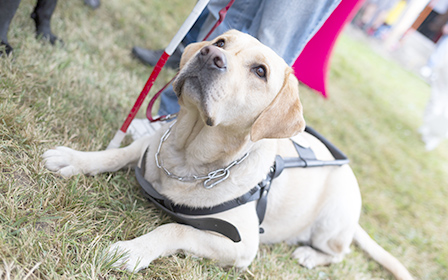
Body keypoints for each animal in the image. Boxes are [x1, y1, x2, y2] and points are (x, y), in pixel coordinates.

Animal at [42, 29, 412, 278]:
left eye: (260, 71)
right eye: (221, 43)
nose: (208, 55)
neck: (189, 158)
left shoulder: (241, 245)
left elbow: (175, 229)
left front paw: (132, 250)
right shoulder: (151, 146)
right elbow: (115, 154)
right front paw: (74, 159)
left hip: (331, 224)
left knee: (338, 252)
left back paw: (309, 255)